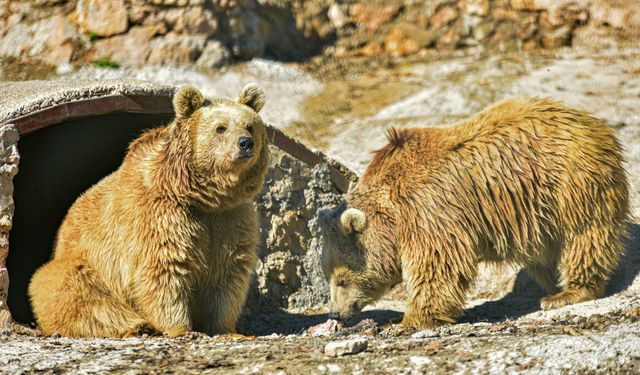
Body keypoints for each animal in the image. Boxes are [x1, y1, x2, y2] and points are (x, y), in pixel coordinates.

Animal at [28, 83, 268, 340]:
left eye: (250, 126)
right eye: (220, 128)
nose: (245, 143)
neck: (203, 197)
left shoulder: (230, 219)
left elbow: (228, 274)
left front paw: (230, 330)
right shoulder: (162, 216)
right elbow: (164, 270)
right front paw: (181, 328)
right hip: (79, 263)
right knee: (74, 289)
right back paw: (137, 325)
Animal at [322, 97, 628, 328]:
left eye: (342, 280)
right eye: (330, 278)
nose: (336, 313)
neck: (392, 218)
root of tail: (591, 122)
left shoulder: (427, 209)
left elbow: (438, 263)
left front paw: (406, 321)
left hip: (571, 183)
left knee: (585, 236)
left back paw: (568, 293)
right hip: (541, 213)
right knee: (542, 254)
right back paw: (553, 286)